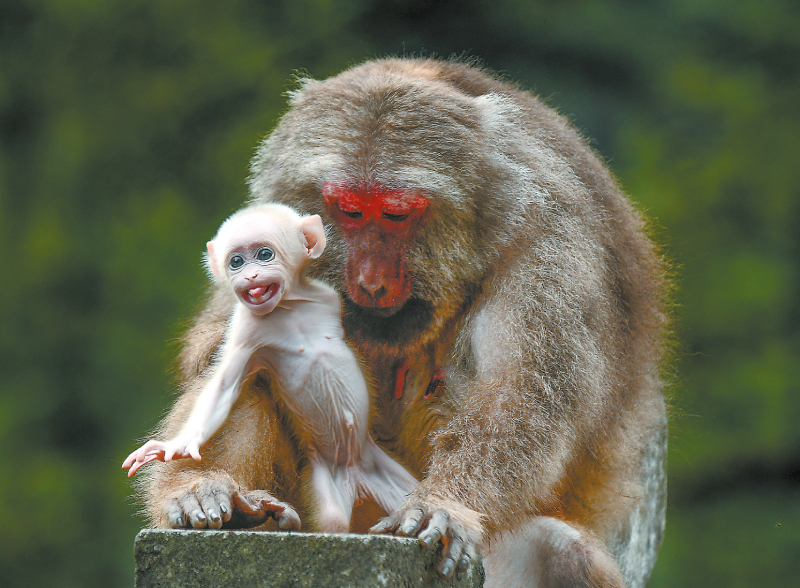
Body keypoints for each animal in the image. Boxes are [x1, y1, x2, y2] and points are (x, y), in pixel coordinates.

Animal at [125, 206, 418, 532]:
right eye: (236, 262)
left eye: (264, 254)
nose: (250, 275)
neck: (288, 308)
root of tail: (356, 471)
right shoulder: (246, 327)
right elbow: (224, 384)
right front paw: (175, 447)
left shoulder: (327, 297)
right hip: (325, 477)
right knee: (332, 520)